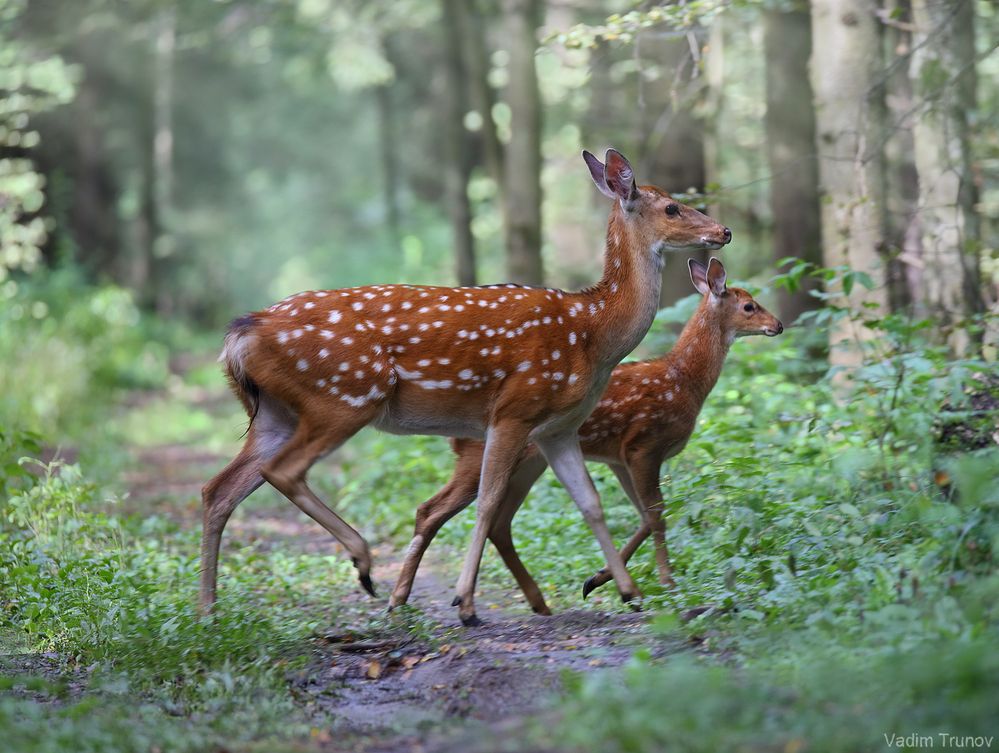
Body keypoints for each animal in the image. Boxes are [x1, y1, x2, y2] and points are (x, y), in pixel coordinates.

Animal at [199, 148, 732, 626]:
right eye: (671, 207)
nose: (723, 231)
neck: (593, 333)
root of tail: (241, 333)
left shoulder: (558, 428)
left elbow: (591, 503)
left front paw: (627, 591)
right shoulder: (515, 408)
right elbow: (490, 502)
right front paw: (466, 603)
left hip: (276, 414)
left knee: (218, 489)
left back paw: (209, 611)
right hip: (344, 395)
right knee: (283, 471)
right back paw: (364, 564)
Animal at [387, 257, 782, 615]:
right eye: (749, 305)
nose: (778, 324)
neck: (683, 381)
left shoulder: (620, 457)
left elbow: (643, 516)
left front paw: (598, 579)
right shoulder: (644, 444)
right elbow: (657, 515)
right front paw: (666, 583)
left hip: (529, 463)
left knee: (497, 522)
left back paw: (536, 602)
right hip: (484, 455)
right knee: (433, 510)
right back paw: (404, 600)